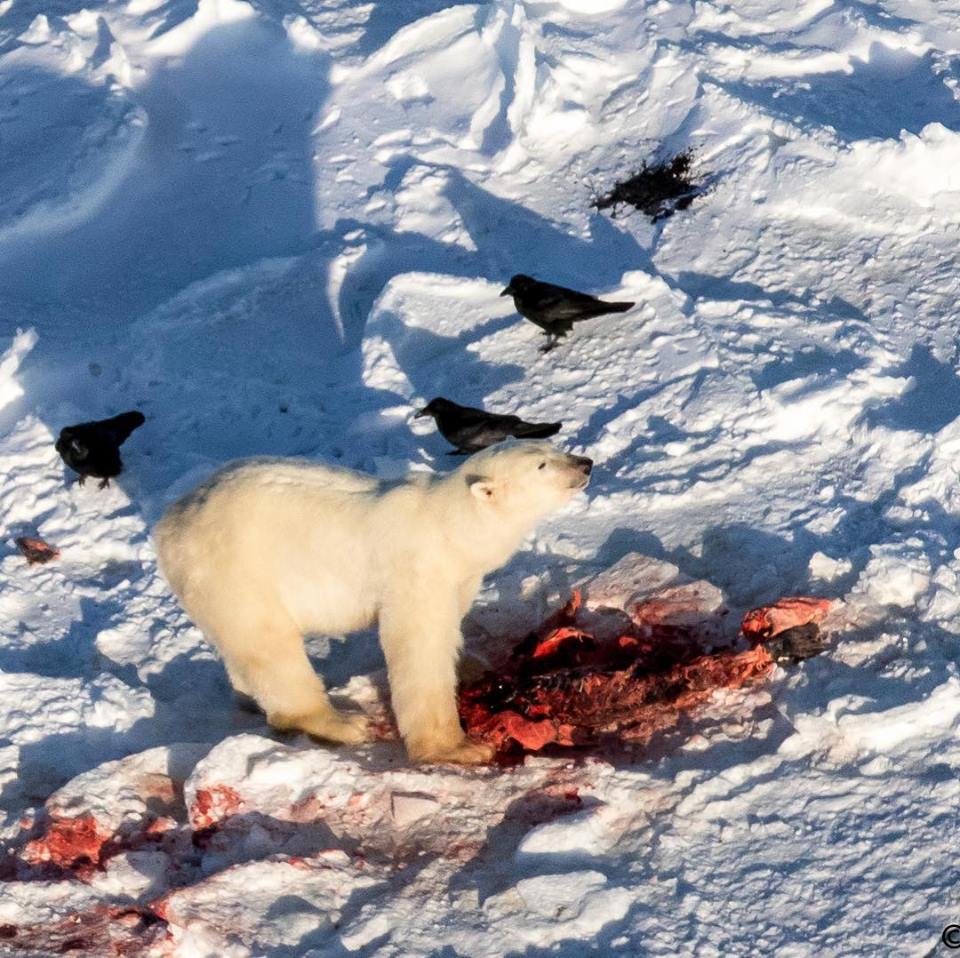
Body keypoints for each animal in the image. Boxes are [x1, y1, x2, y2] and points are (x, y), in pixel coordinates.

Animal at [153, 442, 588, 764]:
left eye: (553, 447)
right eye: (541, 465)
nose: (585, 463)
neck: (450, 525)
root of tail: (168, 524)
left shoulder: (460, 576)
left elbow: (453, 624)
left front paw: (472, 668)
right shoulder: (416, 568)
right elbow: (418, 646)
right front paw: (457, 747)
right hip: (235, 570)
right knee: (271, 646)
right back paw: (340, 723)